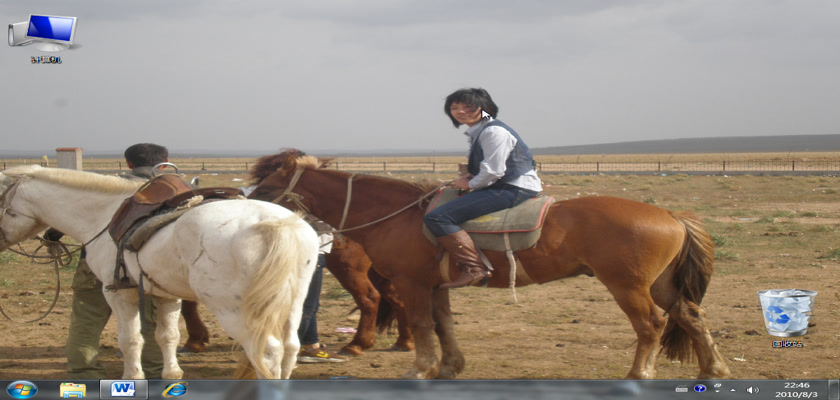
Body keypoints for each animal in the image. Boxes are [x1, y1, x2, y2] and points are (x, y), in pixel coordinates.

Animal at [0, 165, 318, 379]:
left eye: (0, 201)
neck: (103, 216)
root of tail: (272, 224)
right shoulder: (168, 296)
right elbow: (168, 336)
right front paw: (171, 375)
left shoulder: (119, 294)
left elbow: (131, 339)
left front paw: (133, 377)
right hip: (291, 303)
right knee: (290, 348)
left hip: (234, 311)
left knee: (267, 351)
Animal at [179, 235, 414, 356]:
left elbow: (187, 307)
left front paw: (194, 340)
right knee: (396, 299)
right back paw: (404, 341)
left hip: (349, 270)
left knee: (370, 298)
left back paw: (356, 344)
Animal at [246, 150, 732, 380]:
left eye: (268, 183)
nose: (248, 204)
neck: (399, 214)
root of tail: (670, 214)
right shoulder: (435, 285)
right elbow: (444, 326)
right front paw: (449, 367)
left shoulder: (412, 283)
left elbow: (421, 326)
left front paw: (420, 368)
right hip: (662, 285)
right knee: (691, 316)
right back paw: (713, 369)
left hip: (628, 286)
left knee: (651, 325)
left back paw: (638, 374)